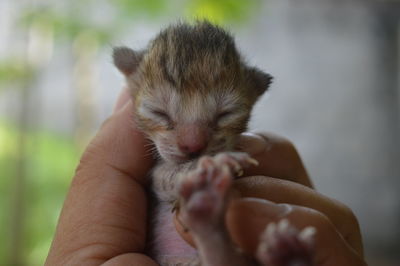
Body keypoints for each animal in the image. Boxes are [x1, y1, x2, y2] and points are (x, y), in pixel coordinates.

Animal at [113, 21, 316, 266]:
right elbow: (166, 175)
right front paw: (208, 164)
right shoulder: (155, 174)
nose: (193, 146)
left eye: (225, 114)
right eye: (158, 112)